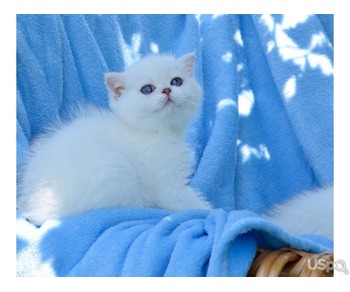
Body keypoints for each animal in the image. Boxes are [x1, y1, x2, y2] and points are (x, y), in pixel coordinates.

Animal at [17, 53, 211, 226]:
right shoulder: (168, 186)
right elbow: (193, 204)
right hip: (112, 167)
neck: (155, 132)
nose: (167, 90)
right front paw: (213, 211)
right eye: (147, 89)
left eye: (176, 81)